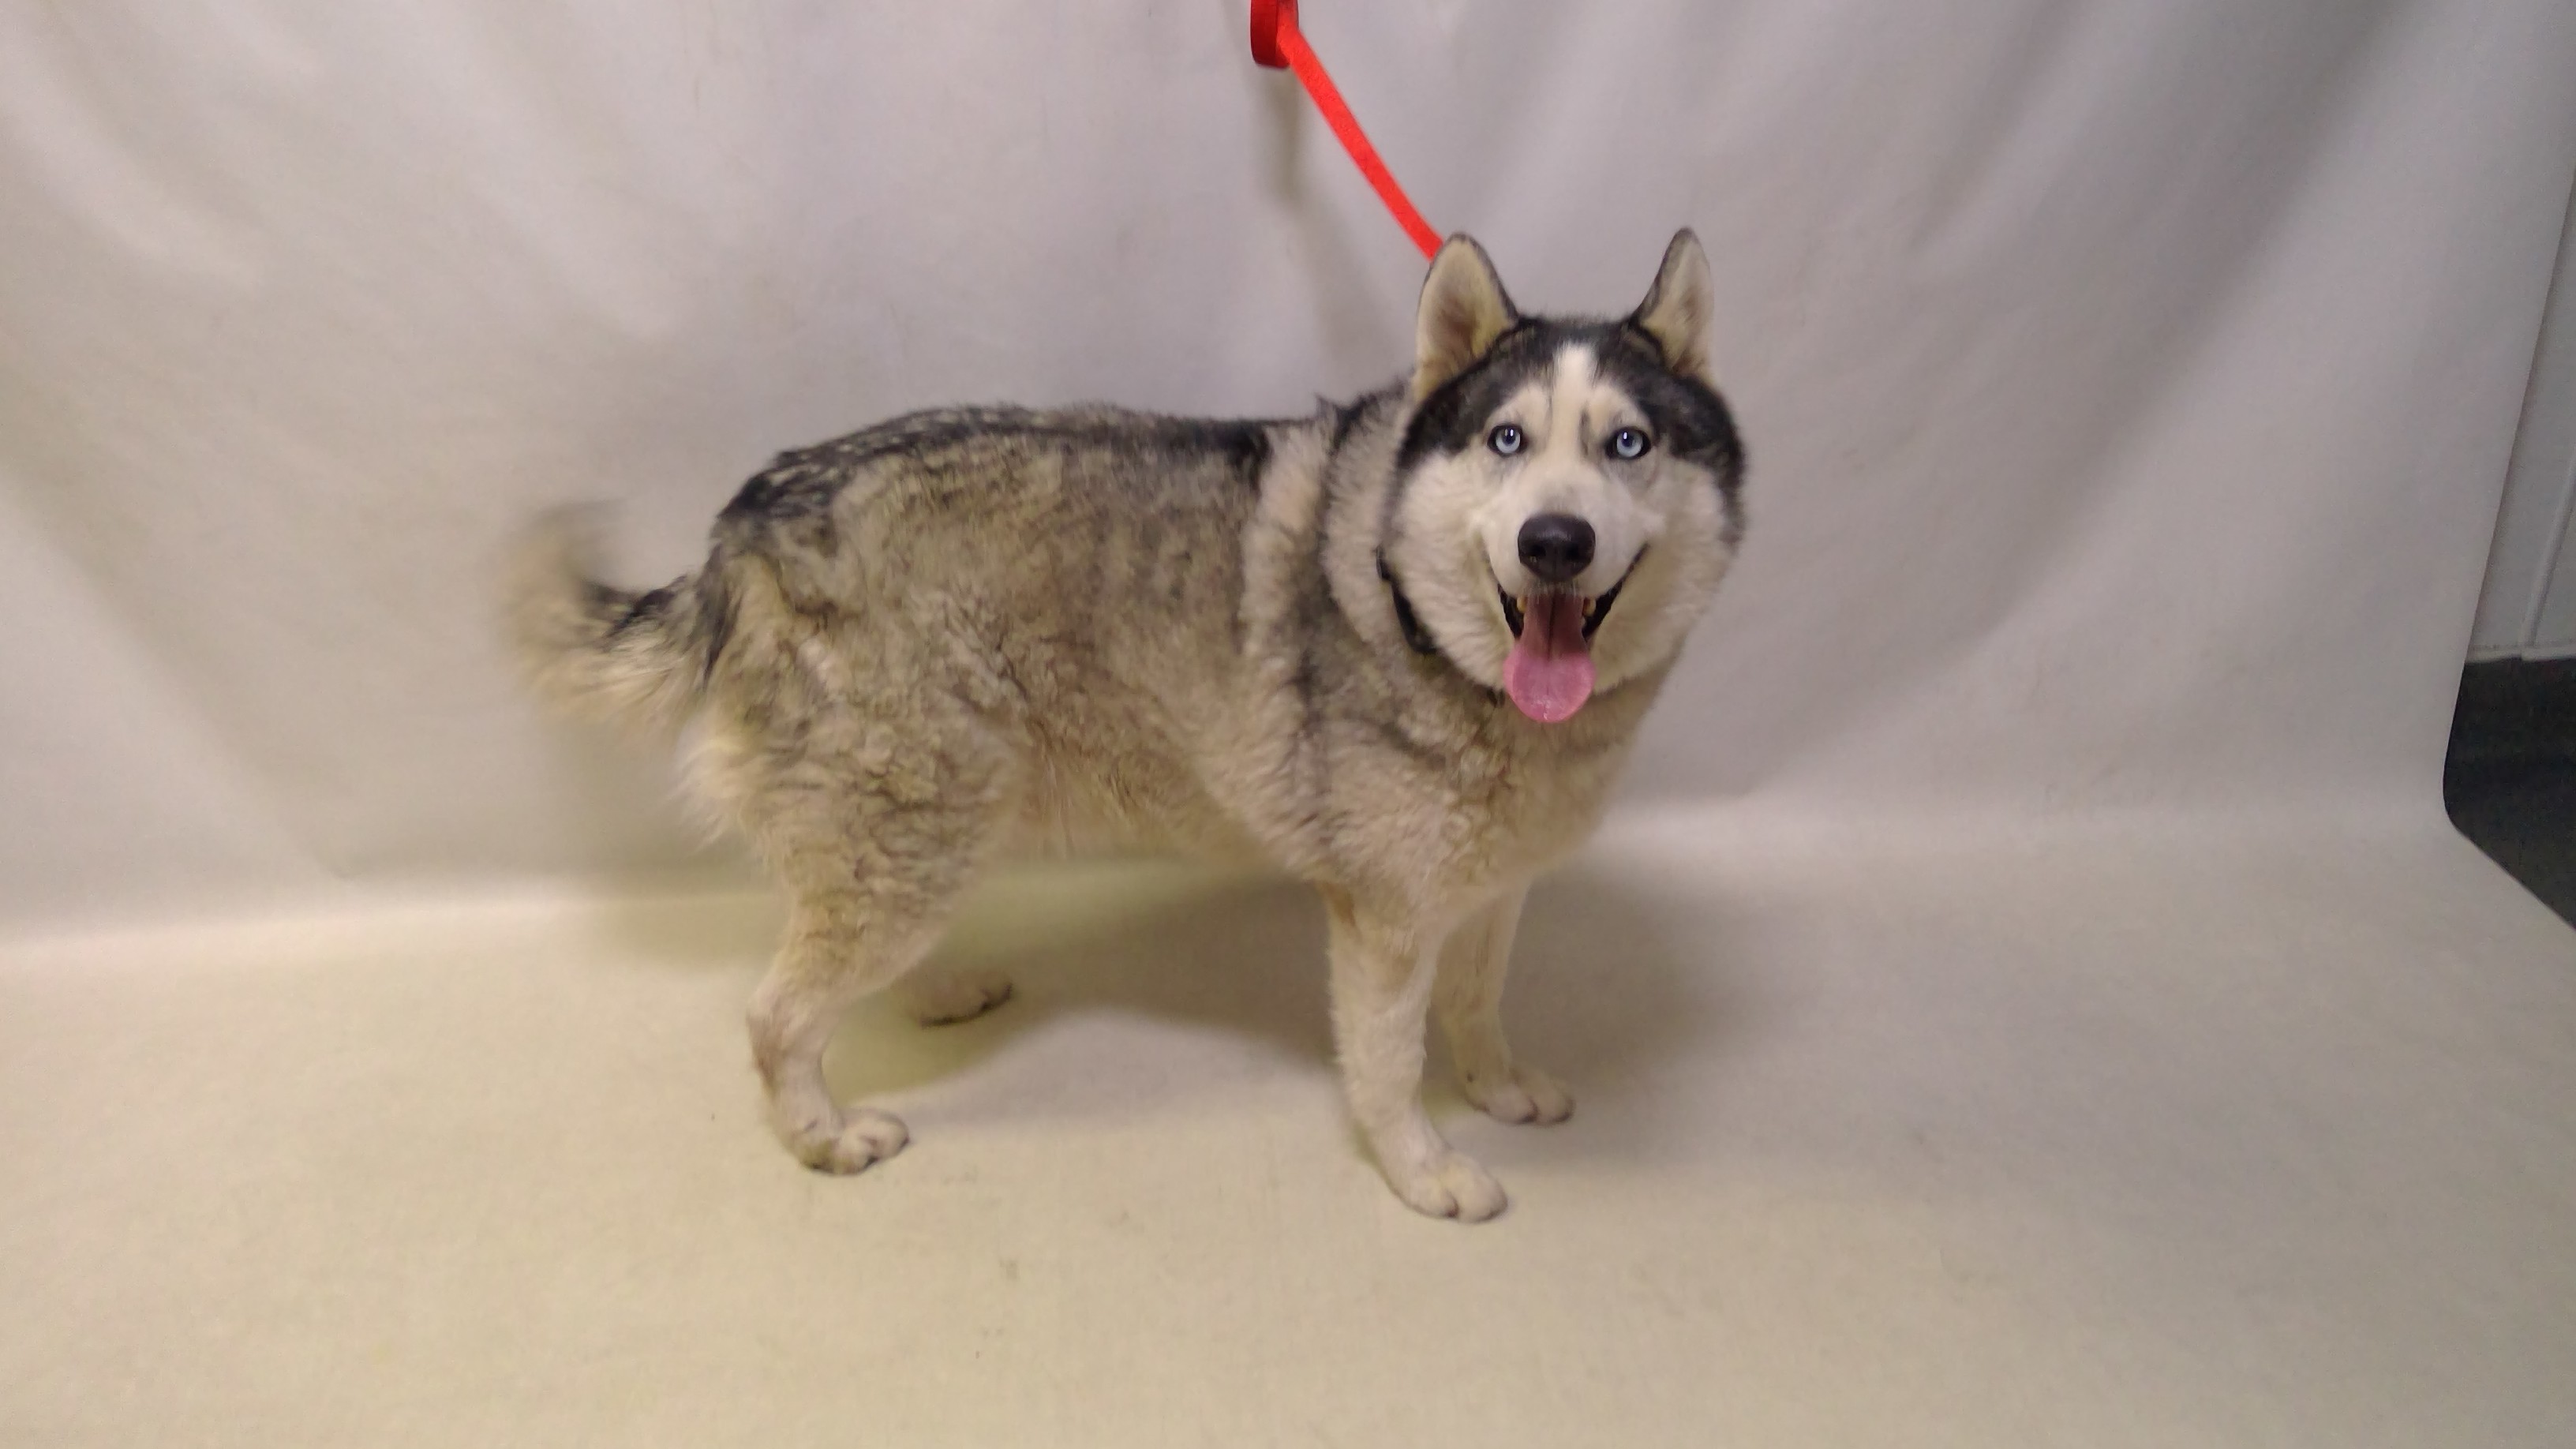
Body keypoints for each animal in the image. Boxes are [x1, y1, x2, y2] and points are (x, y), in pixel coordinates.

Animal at [508, 231, 1744, 1220]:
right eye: (1506, 441)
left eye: (1628, 444)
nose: (1554, 542)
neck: (1432, 634)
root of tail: (742, 527)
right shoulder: (1384, 921)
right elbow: (1390, 1064)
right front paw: (1420, 1170)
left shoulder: (1491, 890)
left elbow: (1479, 1005)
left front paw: (1494, 1087)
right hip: (913, 832)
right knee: (774, 1015)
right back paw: (822, 1134)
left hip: (917, 840)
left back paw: (931, 994)